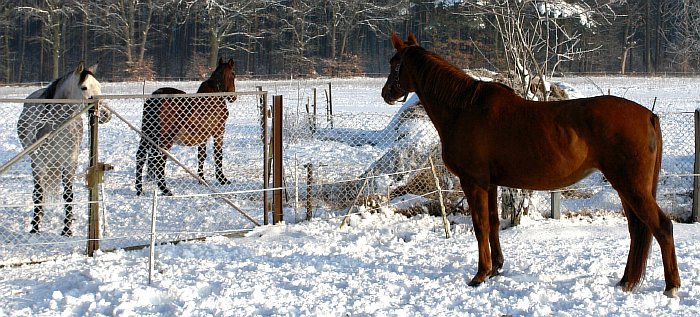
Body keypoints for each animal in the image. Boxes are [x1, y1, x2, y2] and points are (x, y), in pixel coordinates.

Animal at [17, 61, 110, 235]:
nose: (106, 114)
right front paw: (35, 227)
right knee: (38, 192)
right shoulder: (39, 163)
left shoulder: (69, 162)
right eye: (84, 87)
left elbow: (68, 194)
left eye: (100, 87)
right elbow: (39, 193)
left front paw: (67, 229)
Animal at [135, 57, 237, 195]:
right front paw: (222, 179)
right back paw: (165, 189)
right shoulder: (219, 132)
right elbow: (218, 155)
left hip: (147, 135)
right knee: (159, 161)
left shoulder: (203, 137)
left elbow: (201, 156)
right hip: (165, 140)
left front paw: (202, 179)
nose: (233, 97)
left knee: (140, 157)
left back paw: (139, 189)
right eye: (233, 75)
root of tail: (156, 97)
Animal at [380, 32, 680, 296]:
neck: (464, 109)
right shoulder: (490, 184)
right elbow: (493, 223)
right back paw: (626, 281)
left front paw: (480, 275)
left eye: (395, 63)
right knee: (637, 230)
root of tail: (649, 116)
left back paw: (671, 286)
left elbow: (480, 226)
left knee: (661, 227)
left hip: (631, 187)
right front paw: (496, 269)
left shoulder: (473, 182)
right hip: (626, 188)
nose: (385, 93)